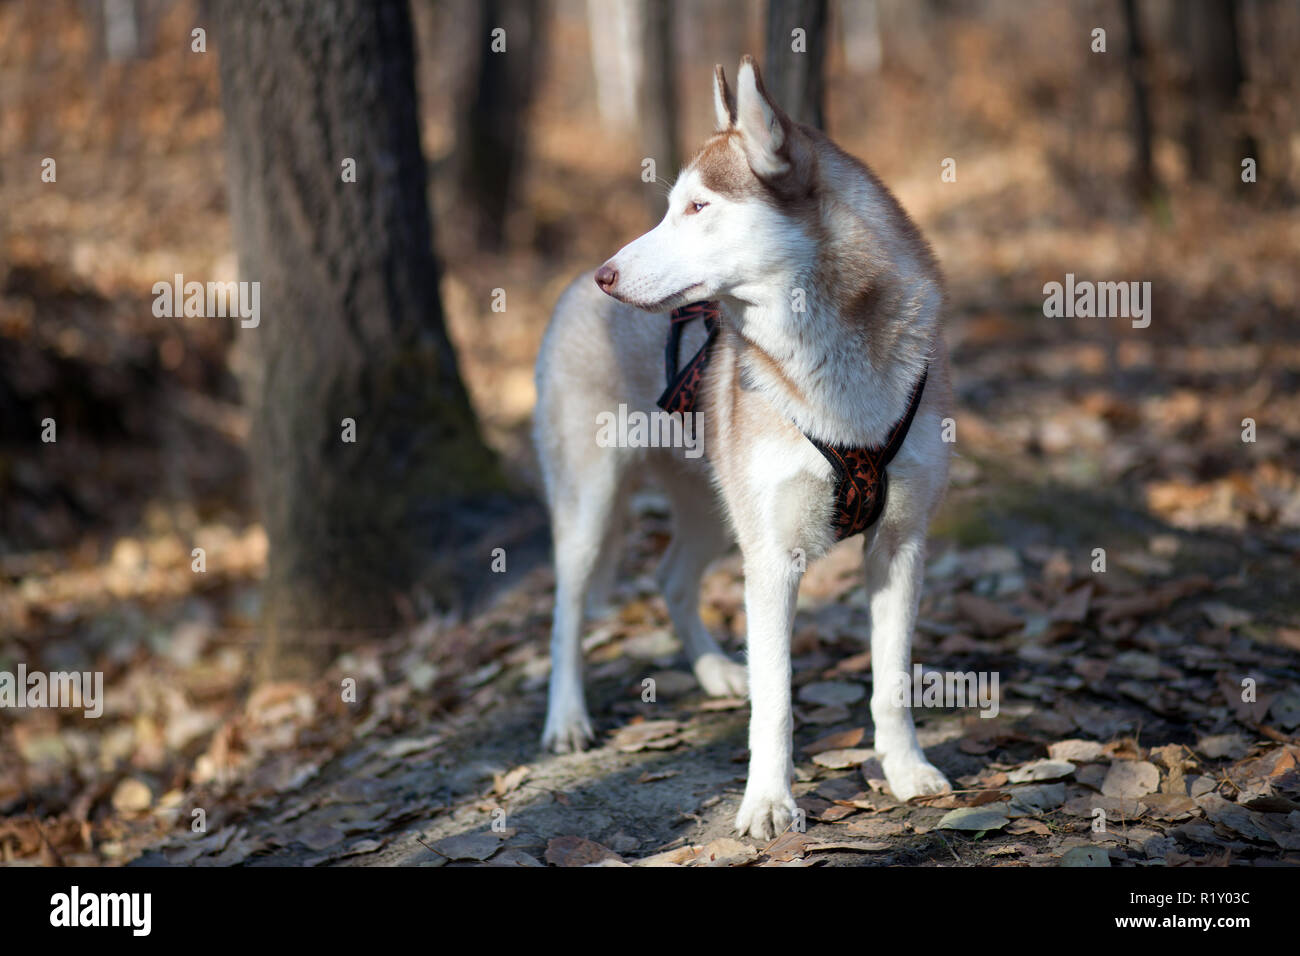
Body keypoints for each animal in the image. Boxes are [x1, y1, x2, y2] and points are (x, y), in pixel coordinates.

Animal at [530, 57, 956, 837]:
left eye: (698, 207)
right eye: (671, 207)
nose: (609, 275)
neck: (833, 368)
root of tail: (569, 289)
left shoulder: (902, 543)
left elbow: (891, 681)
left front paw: (907, 769)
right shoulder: (774, 559)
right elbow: (777, 701)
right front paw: (768, 802)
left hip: (712, 508)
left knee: (670, 577)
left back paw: (713, 670)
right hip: (592, 504)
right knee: (568, 609)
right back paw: (567, 717)